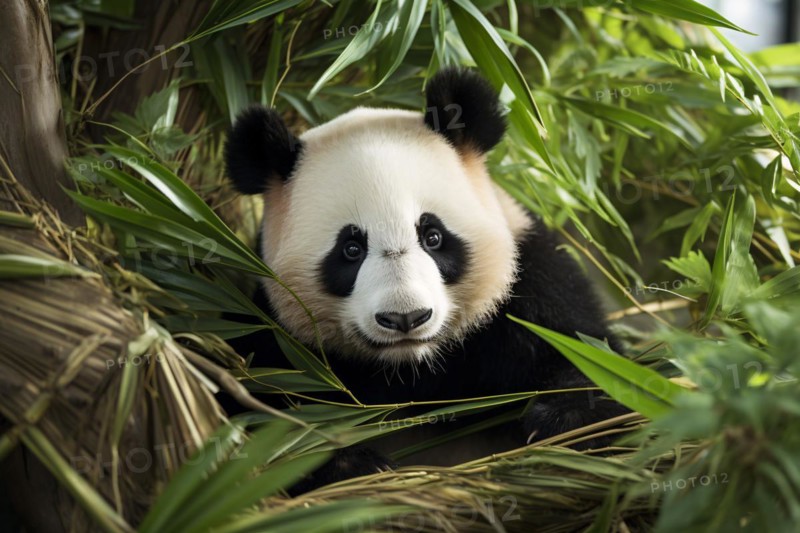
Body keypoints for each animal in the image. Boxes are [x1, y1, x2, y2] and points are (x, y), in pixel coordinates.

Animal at [224, 68, 627, 490]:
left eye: (432, 236)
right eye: (351, 249)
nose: (406, 318)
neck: (414, 370)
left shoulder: (530, 280)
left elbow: (586, 353)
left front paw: (567, 419)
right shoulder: (272, 331)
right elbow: (261, 414)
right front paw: (354, 464)